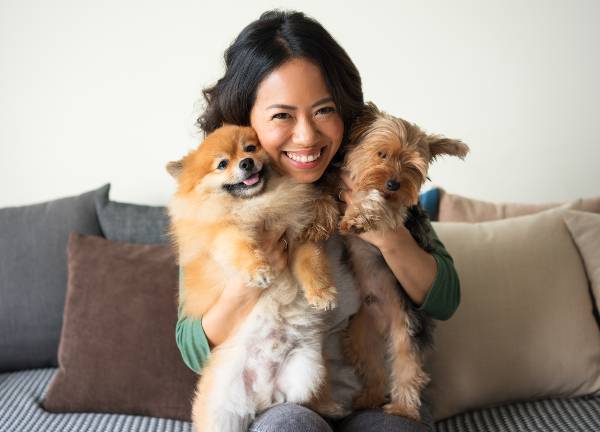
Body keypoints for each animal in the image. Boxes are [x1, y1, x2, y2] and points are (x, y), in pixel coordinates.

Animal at [166, 124, 342, 432]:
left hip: (305, 373)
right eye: (222, 164)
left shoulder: (298, 238)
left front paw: (322, 293)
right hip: (222, 413)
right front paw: (259, 270)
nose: (246, 163)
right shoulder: (221, 235)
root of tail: (262, 395)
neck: (257, 205)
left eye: (250, 148)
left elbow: (311, 264)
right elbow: (238, 244)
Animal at [338, 103, 468, 420]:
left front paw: (358, 216)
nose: (393, 183)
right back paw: (369, 398)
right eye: (381, 154)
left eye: (411, 165)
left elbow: (376, 202)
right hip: (361, 335)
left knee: (408, 368)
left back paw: (403, 409)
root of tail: (386, 323)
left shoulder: (398, 212)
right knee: (373, 366)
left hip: (407, 329)